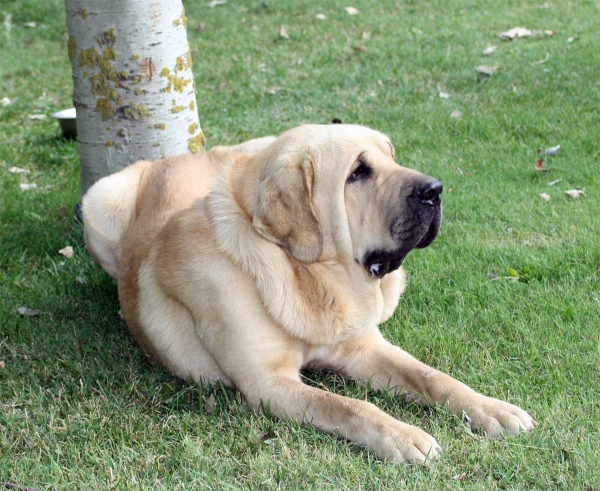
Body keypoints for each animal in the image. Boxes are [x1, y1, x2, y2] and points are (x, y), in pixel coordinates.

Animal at [82, 124, 536, 466]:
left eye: (391, 156)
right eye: (358, 172)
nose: (436, 190)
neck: (307, 276)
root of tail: (176, 156)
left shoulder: (362, 348)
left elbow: (432, 376)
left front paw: (493, 409)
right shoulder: (267, 383)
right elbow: (348, 405)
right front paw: (402, 435)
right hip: (98, 202)